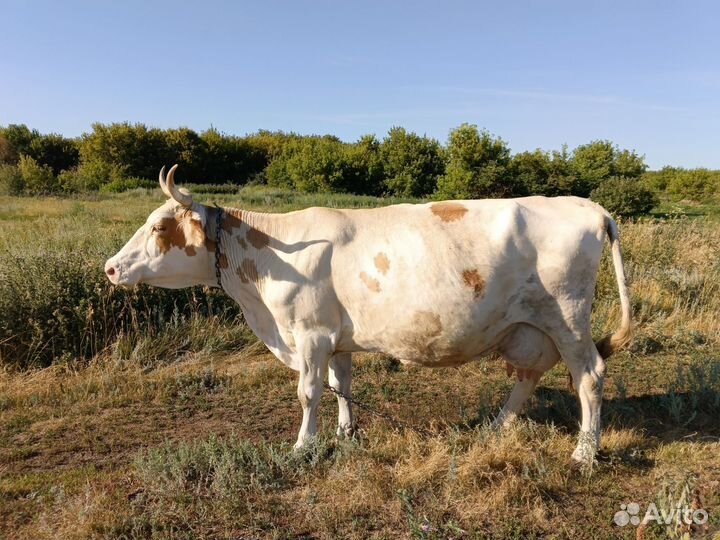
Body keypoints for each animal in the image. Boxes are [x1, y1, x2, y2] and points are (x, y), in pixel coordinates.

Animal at [105, 165, 632, 466]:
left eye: (159, 226)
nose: (110, 267)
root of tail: (587, 205)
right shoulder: (336, 339)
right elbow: (342, 385)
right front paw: (345, 432)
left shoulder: (310, 334)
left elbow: (309, 392)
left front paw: (304, 446)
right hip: (529, 327)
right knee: (527, 375)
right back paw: (497, 426)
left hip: (568, 319)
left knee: (590, 376)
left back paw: (584, 452)